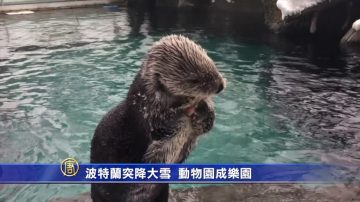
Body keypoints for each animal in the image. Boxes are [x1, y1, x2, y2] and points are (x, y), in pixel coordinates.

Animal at [90, 34, 225, 202]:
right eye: (194, 80)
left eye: (211, 62)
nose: (220, 86)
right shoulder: (150, 119)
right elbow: (158, 150)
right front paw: (186, 113)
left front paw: (205, 108)